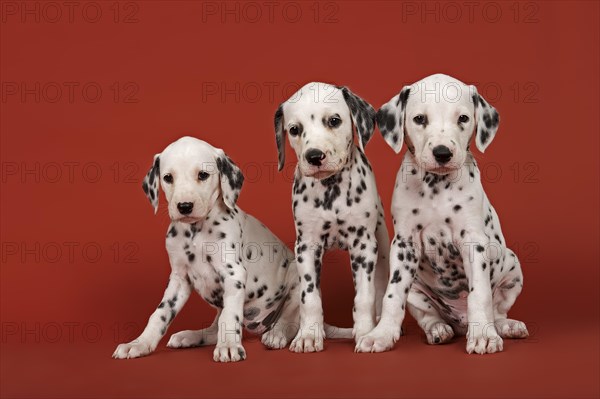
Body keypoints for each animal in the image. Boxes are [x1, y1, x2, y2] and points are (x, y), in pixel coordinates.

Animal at [111, 137, 352, 362]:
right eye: (168, 177)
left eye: (203, 175)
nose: (184, 206)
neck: (195, 233)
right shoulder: (179, 280)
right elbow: (159, 314)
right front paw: (140, 344)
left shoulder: (233, 274)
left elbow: (229, 318)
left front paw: (228, 347)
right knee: (213, 328)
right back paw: (190, 336)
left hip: (297, 281)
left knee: (291, 319)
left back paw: (277, 334)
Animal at [276, 82, 392, 354]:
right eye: (294, 129)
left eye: (334, 121)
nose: (314, 156)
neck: (332, 191)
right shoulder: (307, 247)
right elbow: (310, 298)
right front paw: (308, 335)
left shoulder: (363, 246)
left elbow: (364, 297)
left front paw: (365, 332)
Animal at [358, 73, 528, 354]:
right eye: (419, 119)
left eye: (463, 118)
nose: (442, 153)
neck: (435, 187)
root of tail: (461, 321)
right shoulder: (404, 245)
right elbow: (393, 296)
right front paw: (381, 335)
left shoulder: (473, 242)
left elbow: (480, 294)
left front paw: (484, 336)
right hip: (417, 289)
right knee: (428, 316)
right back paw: (438, 329)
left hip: (512, 267)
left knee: (497, 312)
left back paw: (505, 327)